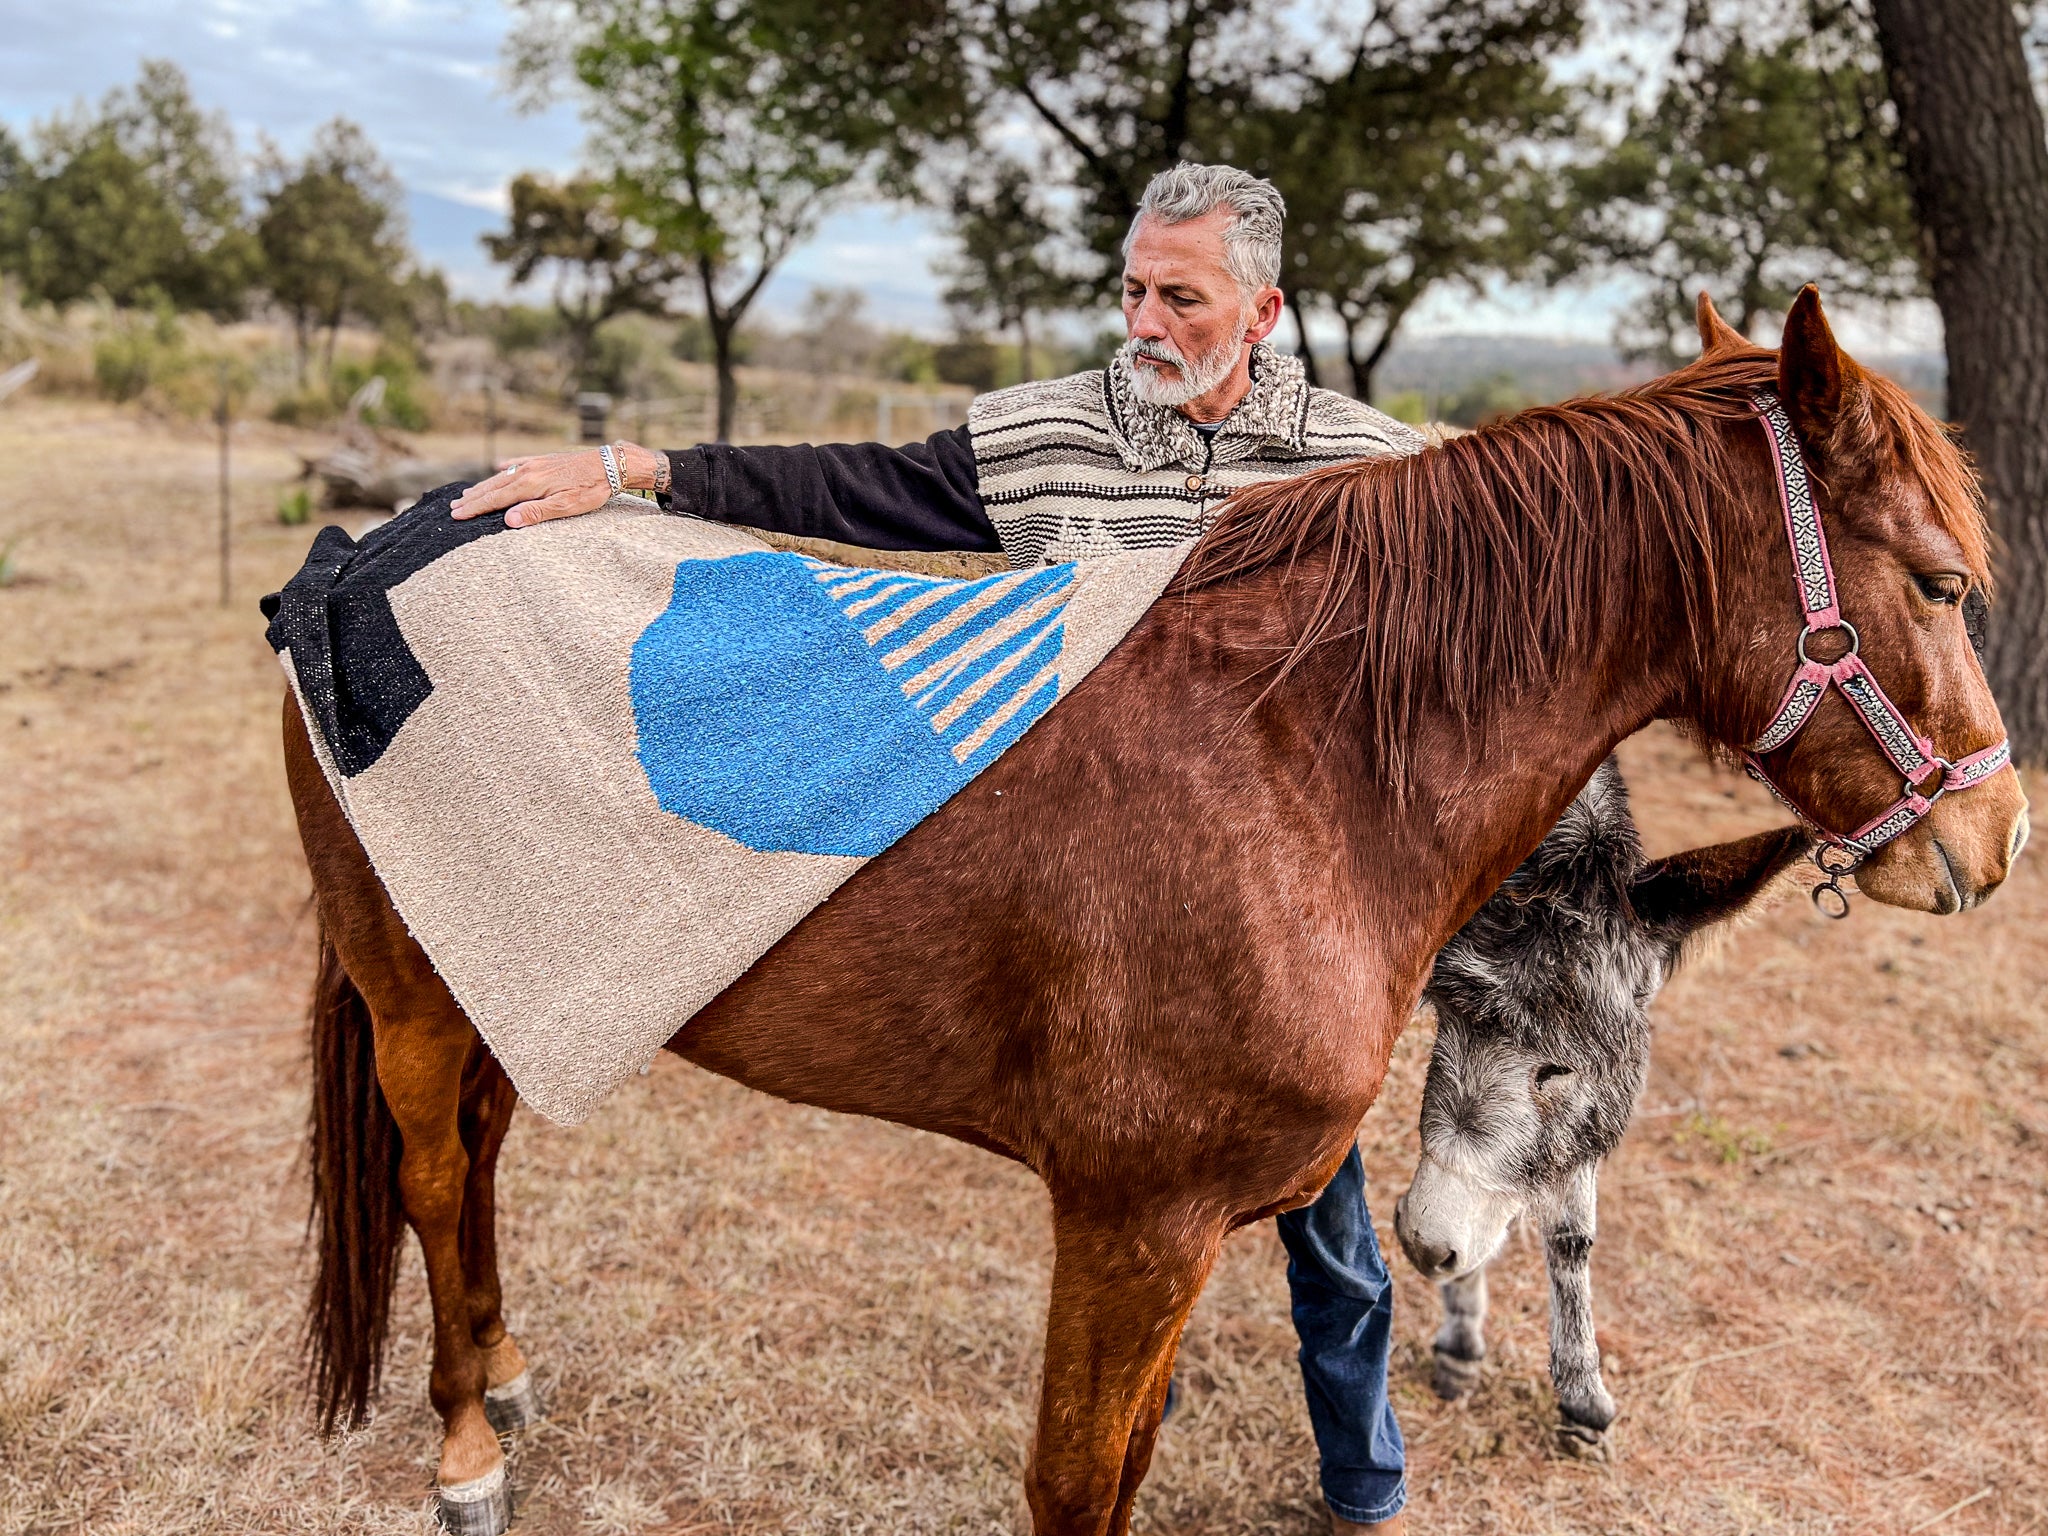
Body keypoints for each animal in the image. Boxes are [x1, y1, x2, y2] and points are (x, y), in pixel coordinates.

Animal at [292, 290, 2031, 1536]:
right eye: (1942, 583)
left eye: (1585, 1083)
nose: (1998, 833)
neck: (1299, 768)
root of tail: (355, 551)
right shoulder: (1131, 1222)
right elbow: (1075, 1484)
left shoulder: (1197, 1235)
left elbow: (1129, 1466)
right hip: (414, 997)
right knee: (439, 1182)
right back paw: (465, 1453)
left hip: (520, 980)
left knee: (488, 1165)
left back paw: (505, 1374)